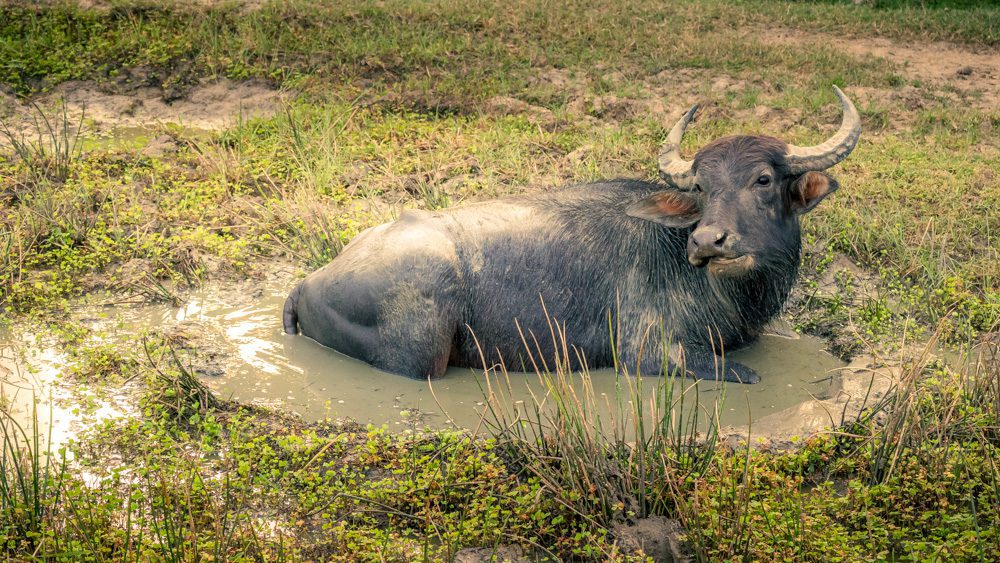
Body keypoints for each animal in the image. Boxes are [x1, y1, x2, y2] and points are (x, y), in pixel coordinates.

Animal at [283, 86, 861, 383]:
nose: (707, 242)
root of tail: (310, 281)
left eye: (763, 180)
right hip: (420, 348)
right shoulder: (648, 351)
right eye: (701, 185)